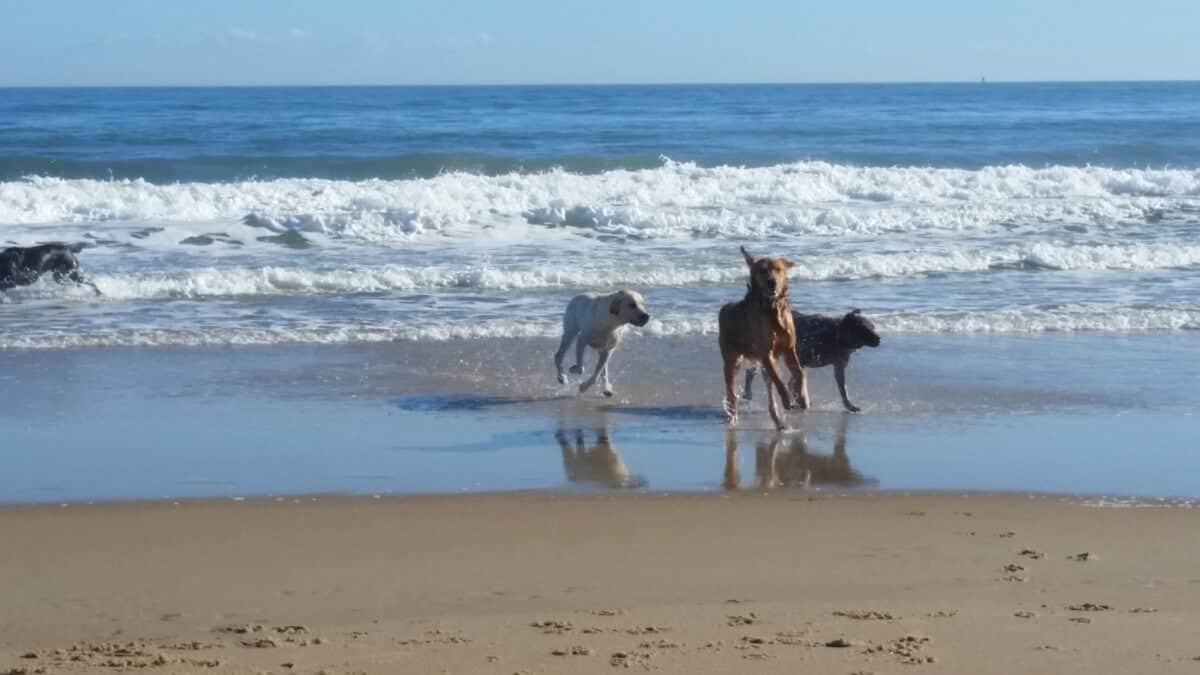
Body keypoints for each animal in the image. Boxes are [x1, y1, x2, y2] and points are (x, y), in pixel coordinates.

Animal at [715, 243, 811, 427]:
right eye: (762, 270)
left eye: (778, 269)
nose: (771, 282)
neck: (773, 308)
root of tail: (724, 308)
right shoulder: (765, 353)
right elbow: (779, 379)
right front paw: (788, 399)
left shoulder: (789, 348)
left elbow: (799, 372)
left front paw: (803, 397)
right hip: (731, 359)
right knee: (731, 391)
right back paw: (733, 416)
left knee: (769, 389)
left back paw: (778, 420)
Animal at [739, 309, 883, 410]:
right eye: (865, 329)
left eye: (873, 326)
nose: (879, 339)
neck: (837, 335)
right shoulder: (800, 361)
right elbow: (796, 384)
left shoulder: (838, 366)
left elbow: (843, 389)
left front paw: (849, 405)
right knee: (751, 371)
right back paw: (747, 393)